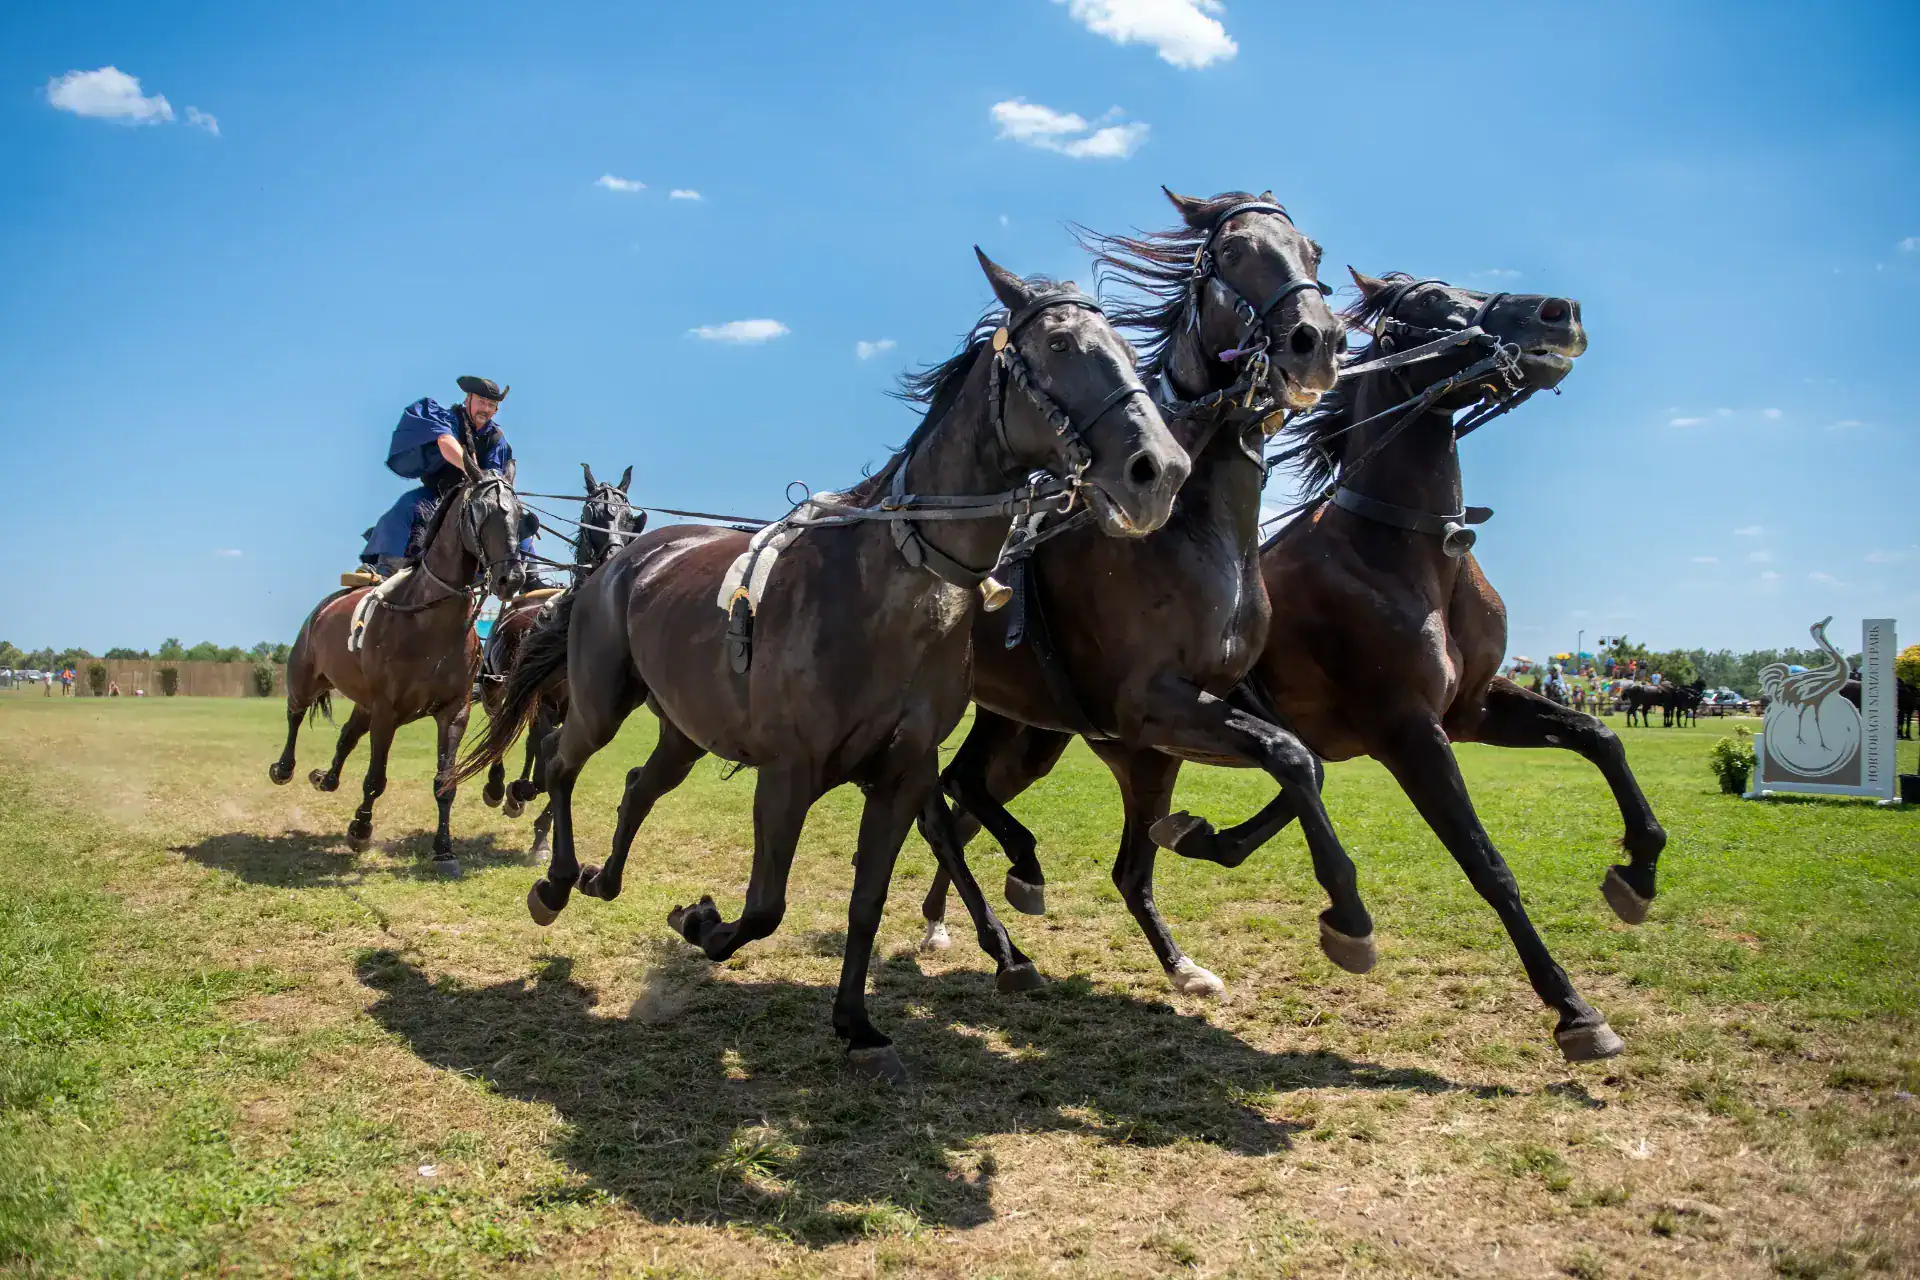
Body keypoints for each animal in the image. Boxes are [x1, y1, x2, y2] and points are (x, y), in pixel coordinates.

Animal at [269, 453, 530, 872]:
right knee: (295, 714)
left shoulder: (453, 712)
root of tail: (322, 609)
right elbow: (376, 779)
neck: (430, 623)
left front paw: (444, 849)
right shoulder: (386, 712)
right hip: (307, 679)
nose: (512, 577)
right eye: (480, 511)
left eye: (523, 516)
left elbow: (445, 782)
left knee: (346, 735)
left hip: (363, 703)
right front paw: (360, 830)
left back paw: (327, 777)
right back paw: (284, 767)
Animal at [478, 464, 645, 859]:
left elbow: (557, 762)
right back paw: (498, 787)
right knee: (500, 727)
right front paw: (517, 792)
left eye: (631, 518)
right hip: (497, 687)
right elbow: (544, 759)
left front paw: (541, 833)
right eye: (591, 513)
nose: (614, 560)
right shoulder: (543, 702)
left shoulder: (581, 714)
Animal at [914, 189, 1362, 996]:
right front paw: (1346, 912)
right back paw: (1007, 911)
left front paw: (1199, 836)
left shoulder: (1211, 698)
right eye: (1236, 250)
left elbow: (1304, 761)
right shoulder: (1151, 705)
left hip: (1026, 728)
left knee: (977, 798)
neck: (1193, 528)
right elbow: (1286, 755)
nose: (1317, 341)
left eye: (1313, 250)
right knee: (944, 809)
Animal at [937, 270, 1640, 1062]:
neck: (1403, 550)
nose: (1557, 313)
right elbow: (1484, 863)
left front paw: (1638, 871)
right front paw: (1574, 1010)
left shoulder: (1473, 708)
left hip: (1089, 746)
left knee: (1022, 822)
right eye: (1429, 300)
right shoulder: (1408, 729)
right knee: (959, 797)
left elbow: (1598, 736)